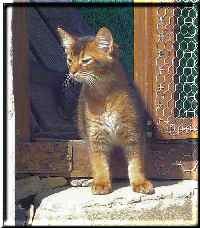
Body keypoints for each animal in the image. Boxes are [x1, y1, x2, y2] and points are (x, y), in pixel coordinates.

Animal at [57, 26, 155, 194]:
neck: (104, 94)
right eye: (69, 60)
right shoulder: (95, 136)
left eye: (85, 60)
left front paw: (139, 182)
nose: (72, 72)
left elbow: (136, 162)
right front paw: (102, 183)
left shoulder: (133, 133)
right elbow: (99, 163)